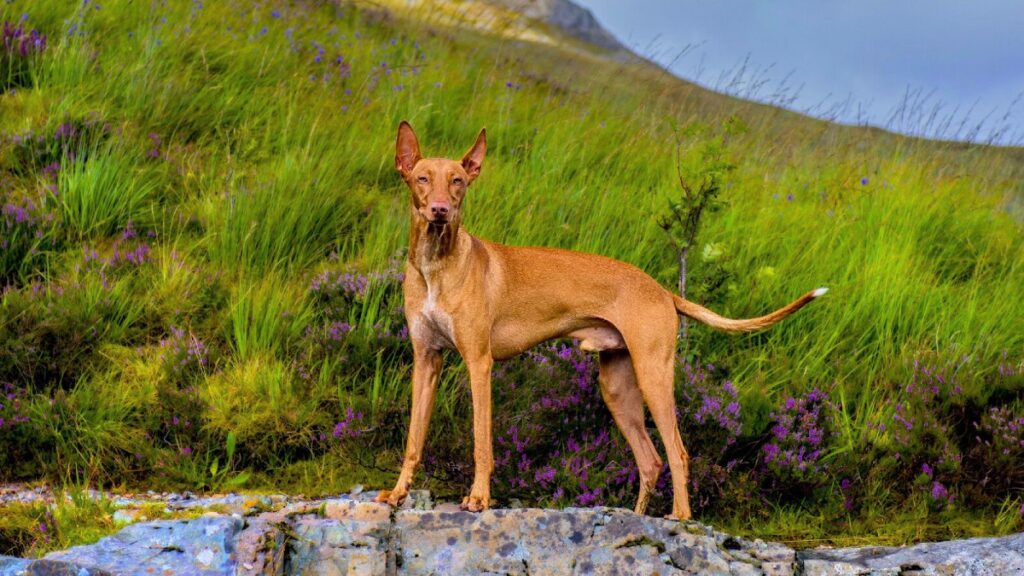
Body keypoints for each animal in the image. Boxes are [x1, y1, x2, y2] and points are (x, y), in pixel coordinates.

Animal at [376, 121, 823, 520]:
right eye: (421, 178)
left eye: (457, 181)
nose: (440, 211)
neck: (437, 265)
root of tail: (663, 291)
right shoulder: (427, 361)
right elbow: (414, 438)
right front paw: (398, 494)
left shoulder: (479, 363)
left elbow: (481, 442)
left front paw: (479, 499)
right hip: (617, 388)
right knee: (650, 460)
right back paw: (636, 516)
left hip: (653, 376)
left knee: (677, 452)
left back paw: (679, 517)